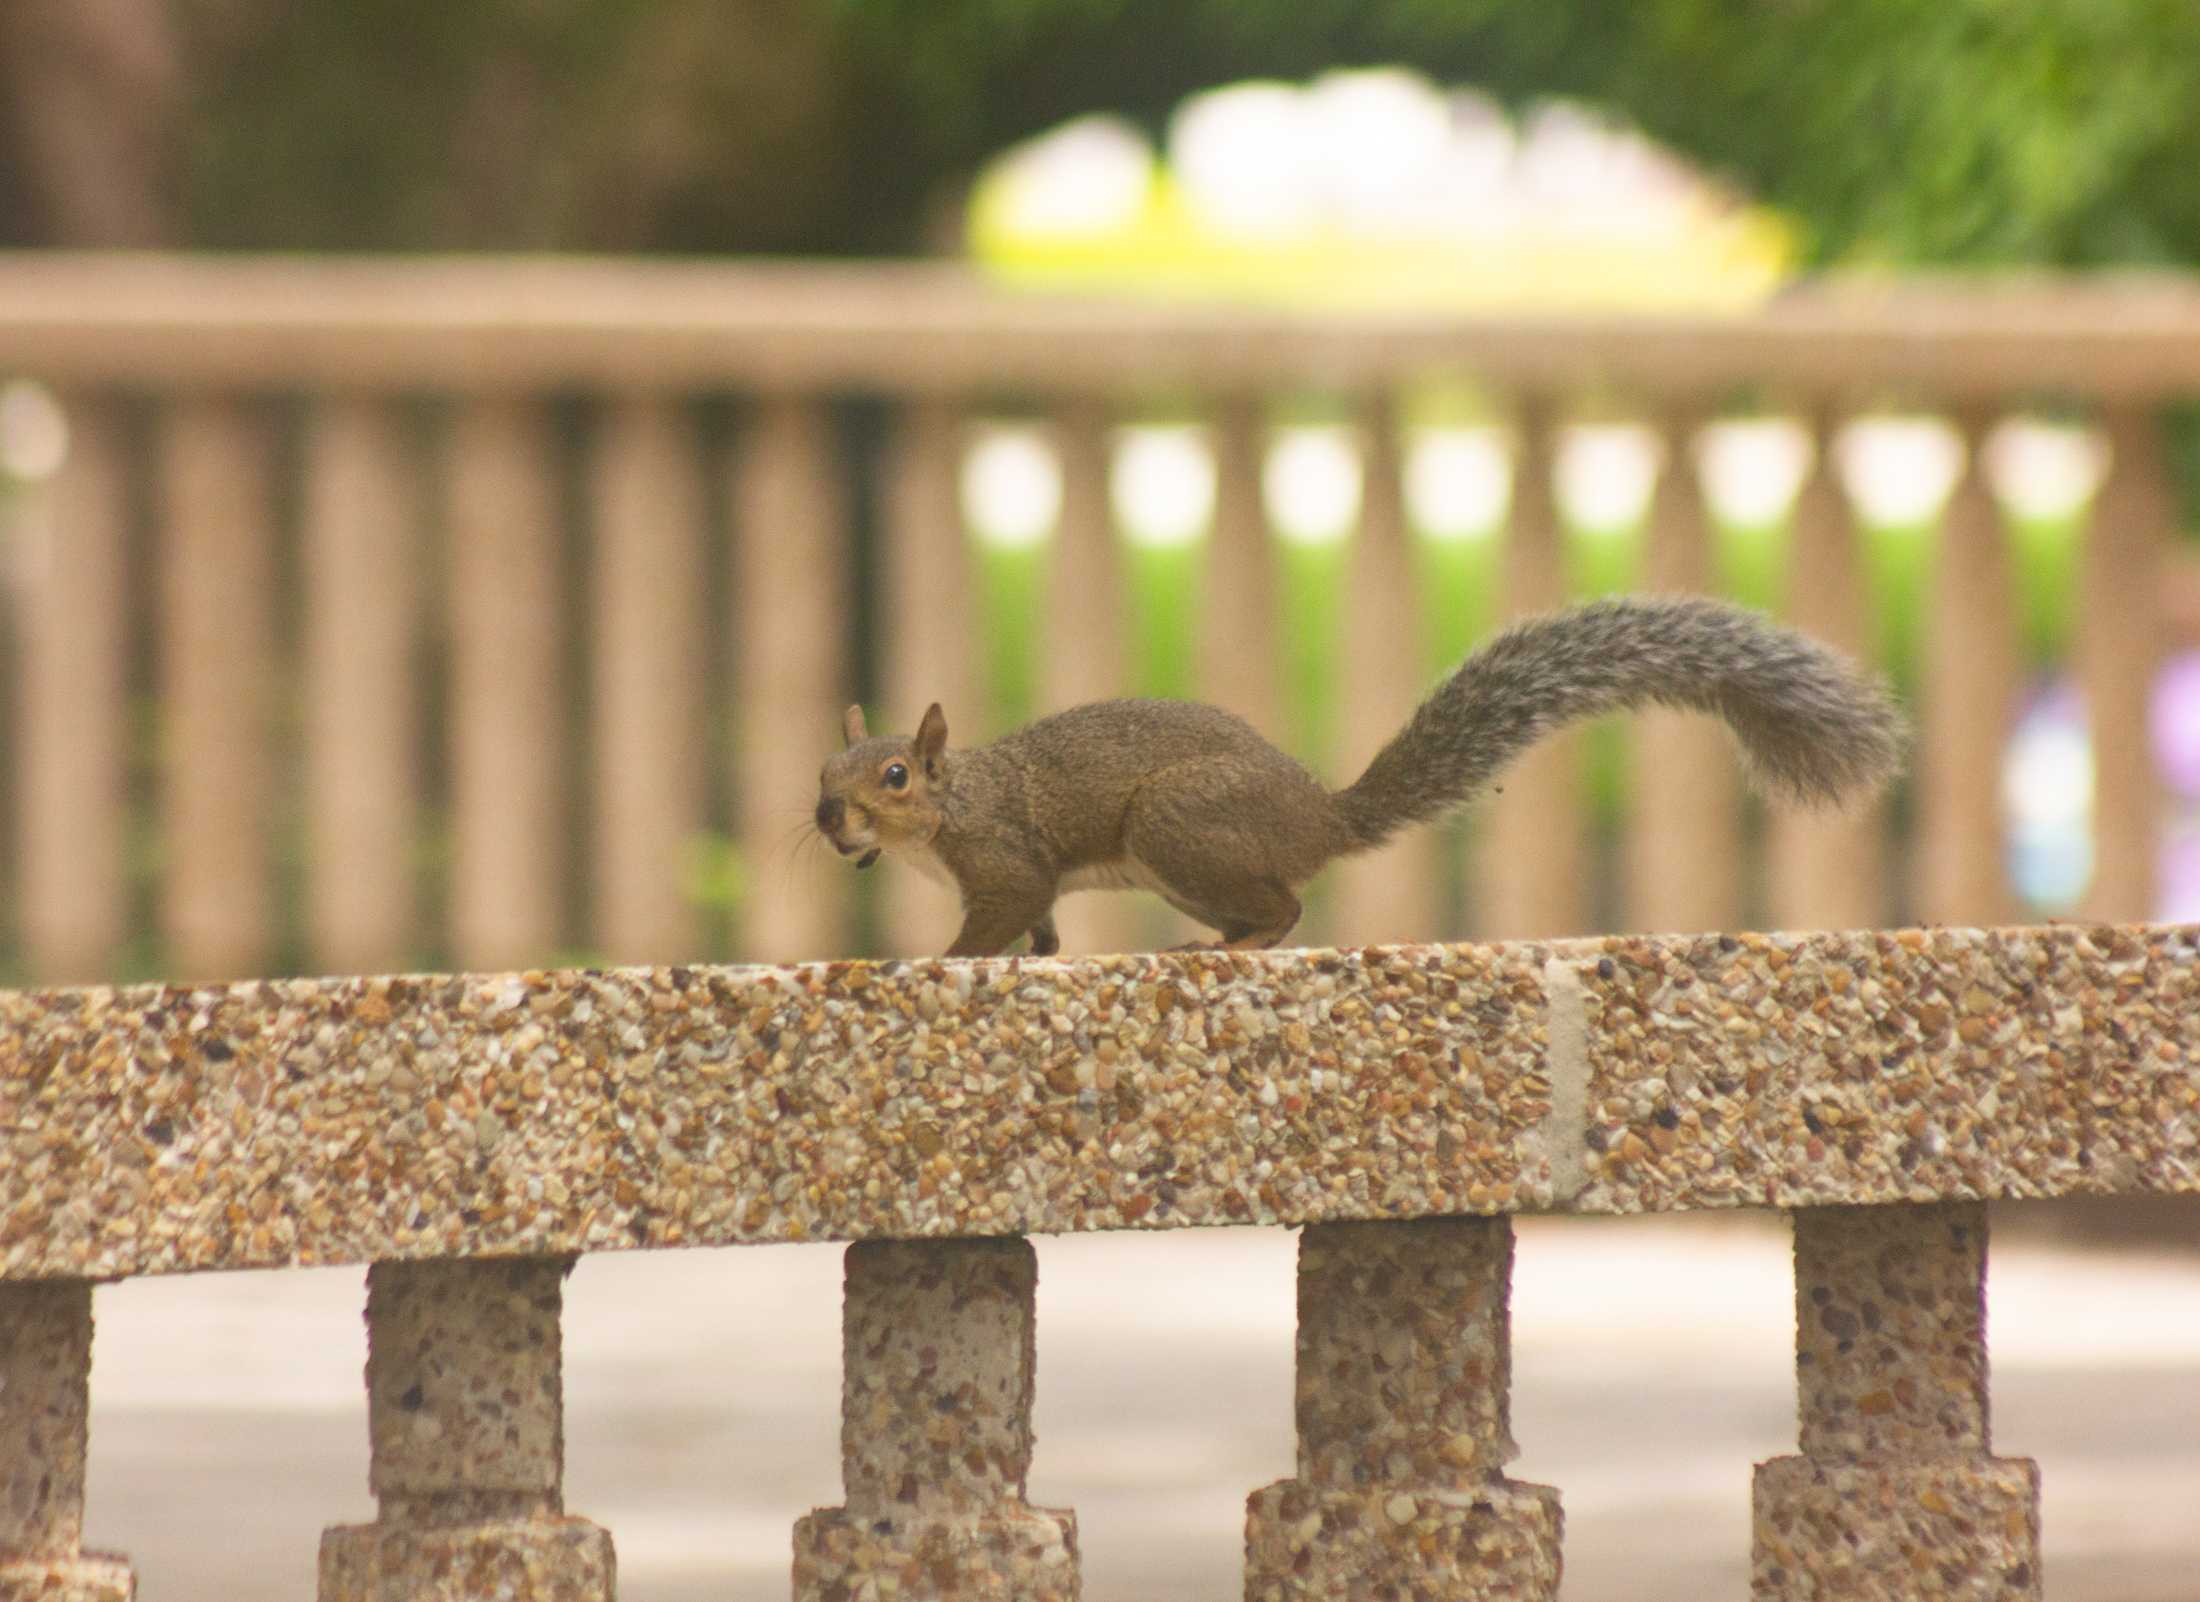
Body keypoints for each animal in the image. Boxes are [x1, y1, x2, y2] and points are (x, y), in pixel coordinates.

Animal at [818, 594, 1900, 959]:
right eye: (822, 770)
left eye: (897, 774)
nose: (830, 819)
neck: (947, 814)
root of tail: (1323, 818)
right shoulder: (1025, 882)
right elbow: (1041, 928)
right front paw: (1036, 959)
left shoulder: (1004, 859)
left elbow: (1002, 914)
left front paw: (943, 961)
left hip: (1178, 825)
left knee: (1288, 908)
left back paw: (1235, 945)